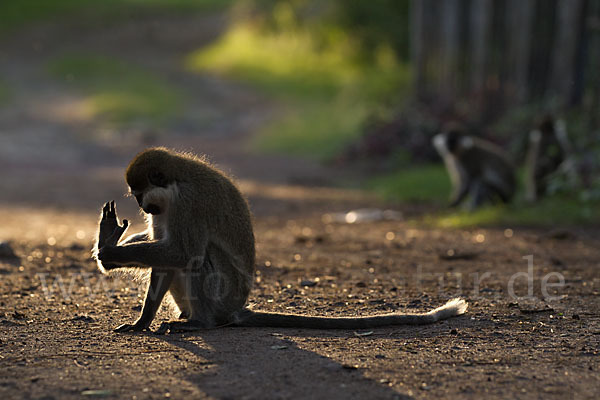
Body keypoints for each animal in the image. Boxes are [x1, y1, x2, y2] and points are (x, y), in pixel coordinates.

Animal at [94, 148, 468, 332]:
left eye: (140, 194)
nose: (143, 206)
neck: (174, 186)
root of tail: (235, 309)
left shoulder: (188, 203)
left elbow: (183, 253)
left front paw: (109, 251)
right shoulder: (166, 211)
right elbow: (166, 254)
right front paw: (142, 322)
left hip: (222, 296)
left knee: (198, 259)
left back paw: (202, 323)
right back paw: (187, 317)